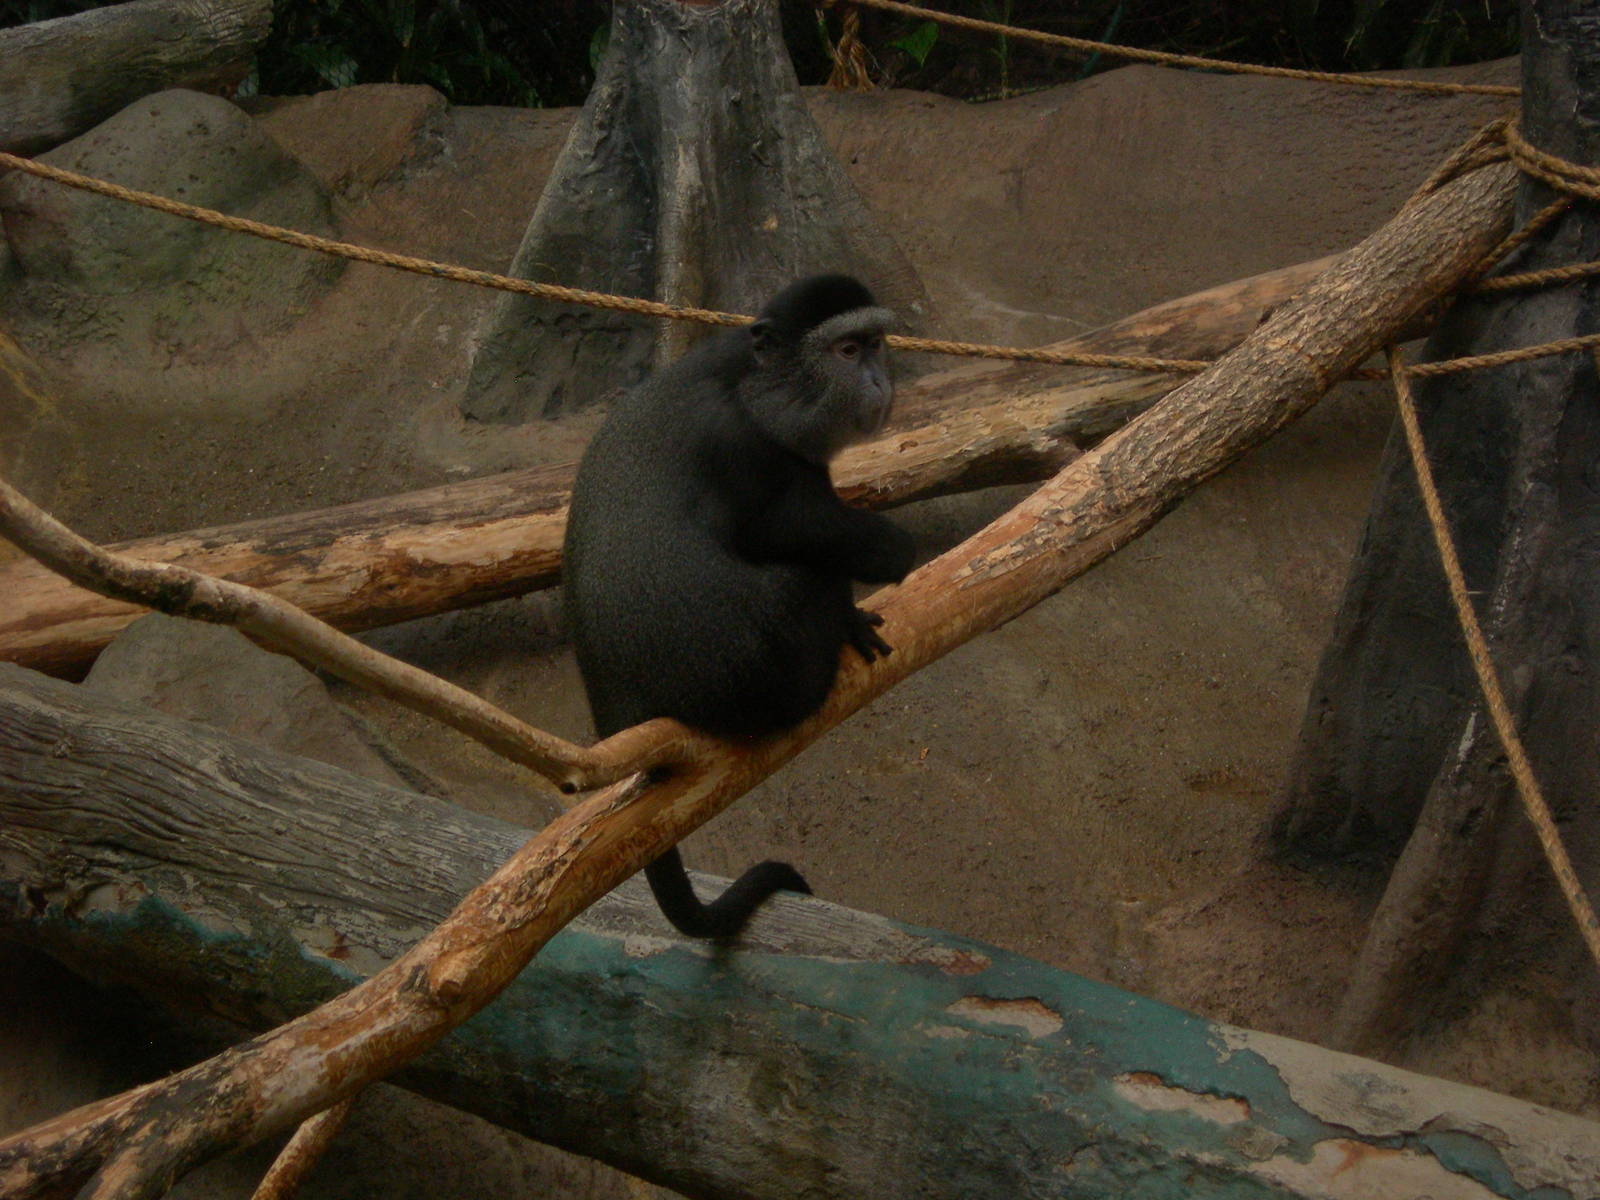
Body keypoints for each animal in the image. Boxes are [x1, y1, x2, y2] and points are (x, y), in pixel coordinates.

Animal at [563, 274, 916, 940]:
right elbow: (785, 531)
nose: (879, 381)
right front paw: (888, 560)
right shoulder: (749, 452)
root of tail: (620, 704)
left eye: (875, 344)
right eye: (847, 351)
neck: (750, 386)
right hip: (757, 670)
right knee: (806, 577)